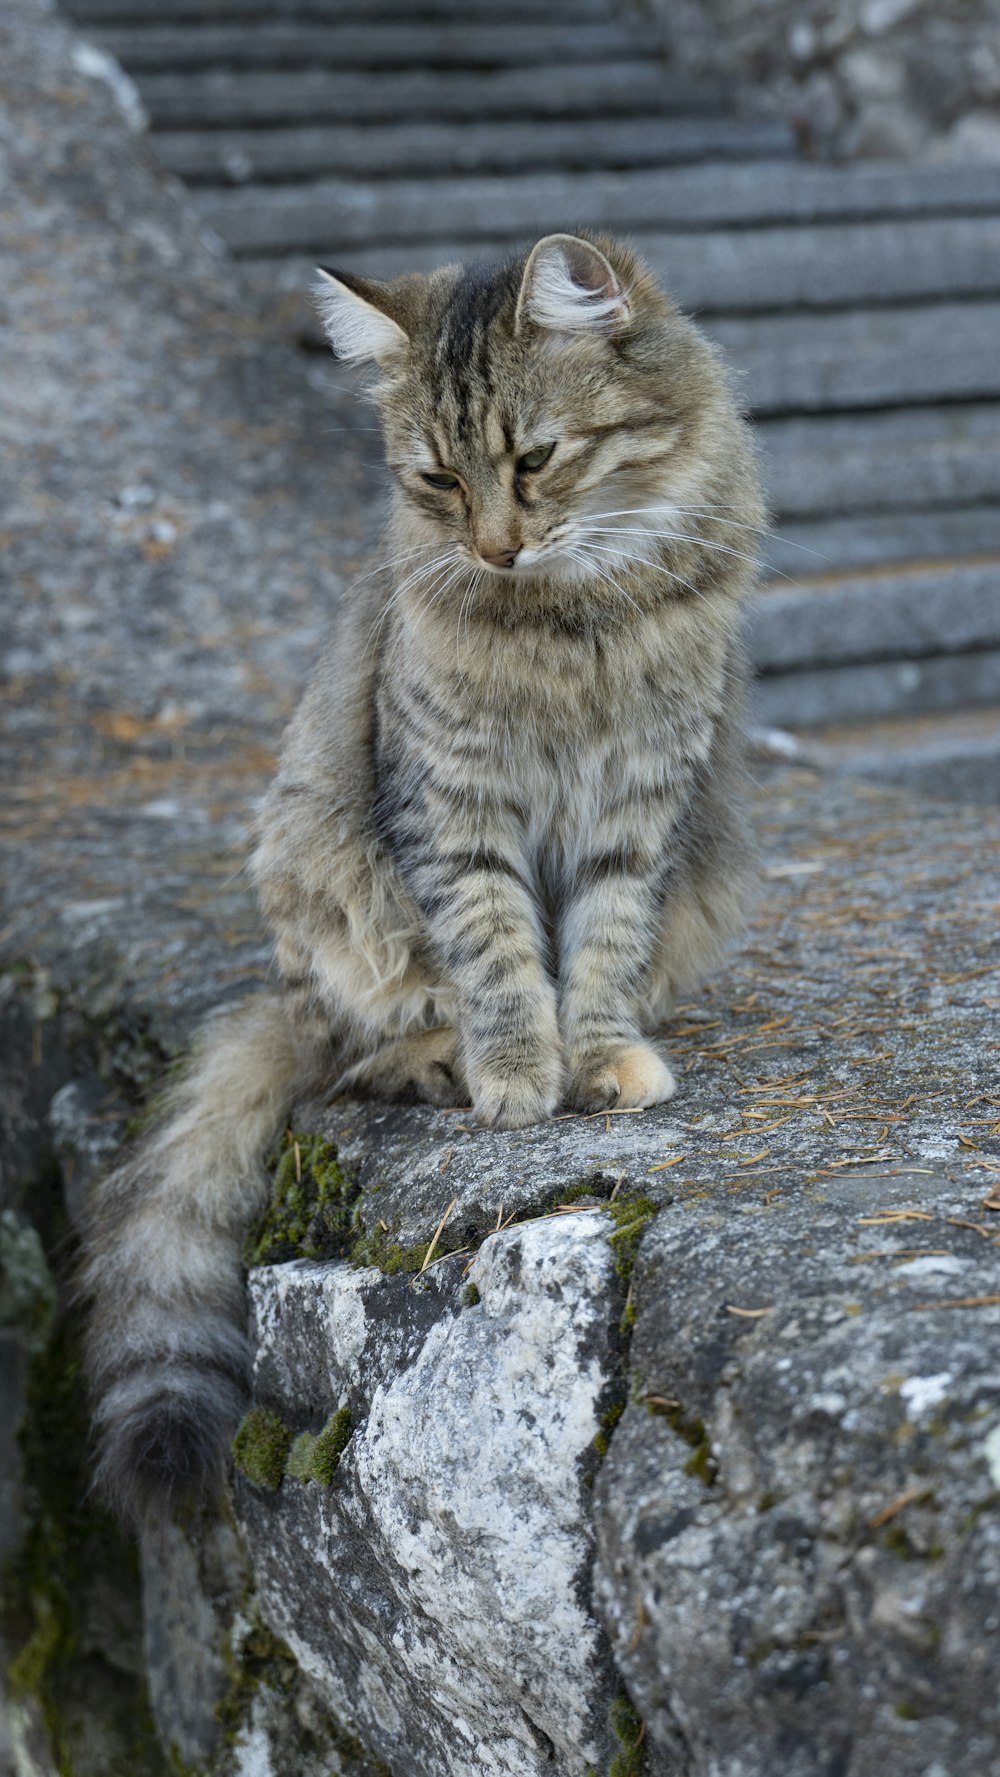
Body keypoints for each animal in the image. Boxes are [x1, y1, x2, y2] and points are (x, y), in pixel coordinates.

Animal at [82, 229, 763, 1521]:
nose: (495, 546)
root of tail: (285, 1001)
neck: (570, 615)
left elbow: (602, 947)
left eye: (533, 460)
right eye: (439, 480)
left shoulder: (640, 805)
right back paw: (440, 1061)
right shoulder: (453, 811)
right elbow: (498, 958)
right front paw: (518, 1076)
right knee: (353, 1055)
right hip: (327, 894)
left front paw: (597, 1058)